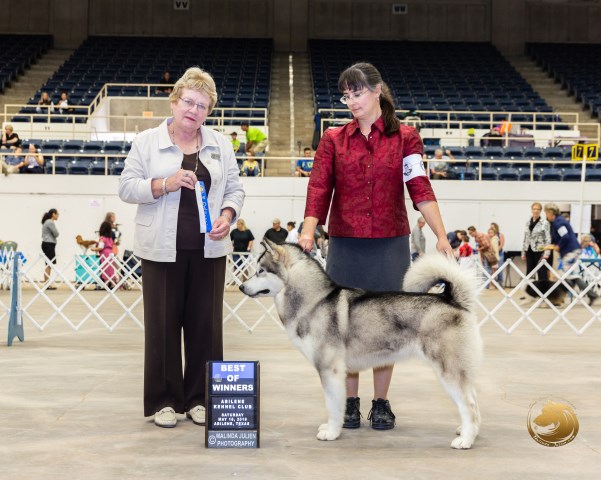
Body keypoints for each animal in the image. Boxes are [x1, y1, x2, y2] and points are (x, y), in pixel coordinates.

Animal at [240, 242, 482, 448]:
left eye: (261, 271)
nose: (242, 286)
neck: (315, 301)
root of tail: (451, 298)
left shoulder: (329, 370)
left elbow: (332, 405)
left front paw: (332, 432)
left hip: (448, 371)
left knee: (469, 405)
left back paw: (466, 440)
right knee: (473, 399)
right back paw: (468, 431)